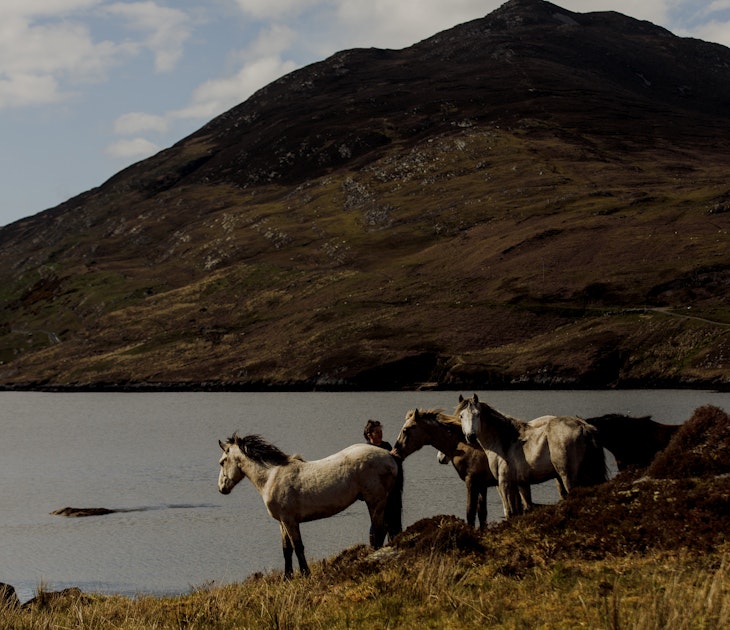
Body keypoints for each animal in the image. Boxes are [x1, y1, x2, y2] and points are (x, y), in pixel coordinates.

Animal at [218, 433, 402, 577]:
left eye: (222, 462)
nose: (221, 488)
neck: (271, 476)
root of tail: (389, 455)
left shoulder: (290, 521)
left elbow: (297, 547)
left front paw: (305, 574)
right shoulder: (282, 522)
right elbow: (286, 549)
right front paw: (287, 577)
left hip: (375, 501)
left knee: (379, 530)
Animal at [456, 394, 607, 519]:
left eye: (477, 414)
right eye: (462, 416)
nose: (470, 436)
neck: (503, 441)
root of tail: (583, 426)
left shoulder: (504, 483)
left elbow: (509, 512)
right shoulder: (521, 483)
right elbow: (522, 509)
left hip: (567, 476)